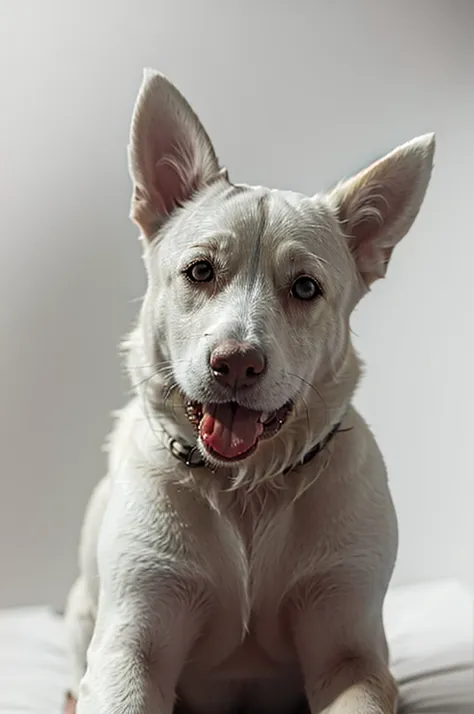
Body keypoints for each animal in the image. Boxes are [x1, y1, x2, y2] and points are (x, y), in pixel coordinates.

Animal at [65, 68, 436, 712]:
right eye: (200, 271)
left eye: (306, 287)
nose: (236, 364)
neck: (246, 491)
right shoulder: (132, 644)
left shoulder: (350, 651)